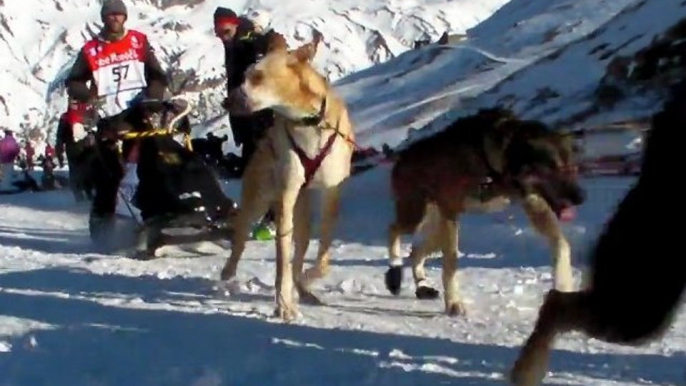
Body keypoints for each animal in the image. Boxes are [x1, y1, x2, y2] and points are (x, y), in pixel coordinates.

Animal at [220, 34, 358, 322]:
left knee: (302, 243)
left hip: (302, 212)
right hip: (258, 200)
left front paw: (306, 278)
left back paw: (303, 288)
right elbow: (283, 259)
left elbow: (323, 257)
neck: (309, 122)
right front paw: (283, 304)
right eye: (245, 75)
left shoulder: (332, 192)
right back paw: (229, 269)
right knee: (241, 236)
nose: (225, 103)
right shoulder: (286, 195)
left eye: (258, 76)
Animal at [388, 107, 584, 316]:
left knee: (416, 250)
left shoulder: (533, 203)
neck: (490, 161)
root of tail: (402, 157)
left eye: (572, 168)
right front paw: (453, 302)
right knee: (393, 229)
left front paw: (563, 286)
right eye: (551, 168)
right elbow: (451, 262)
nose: (580, 197)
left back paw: (422, 286)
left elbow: (562, 245)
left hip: (434, 222)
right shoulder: (450, 210)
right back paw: (394, 273)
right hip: (416, 216)